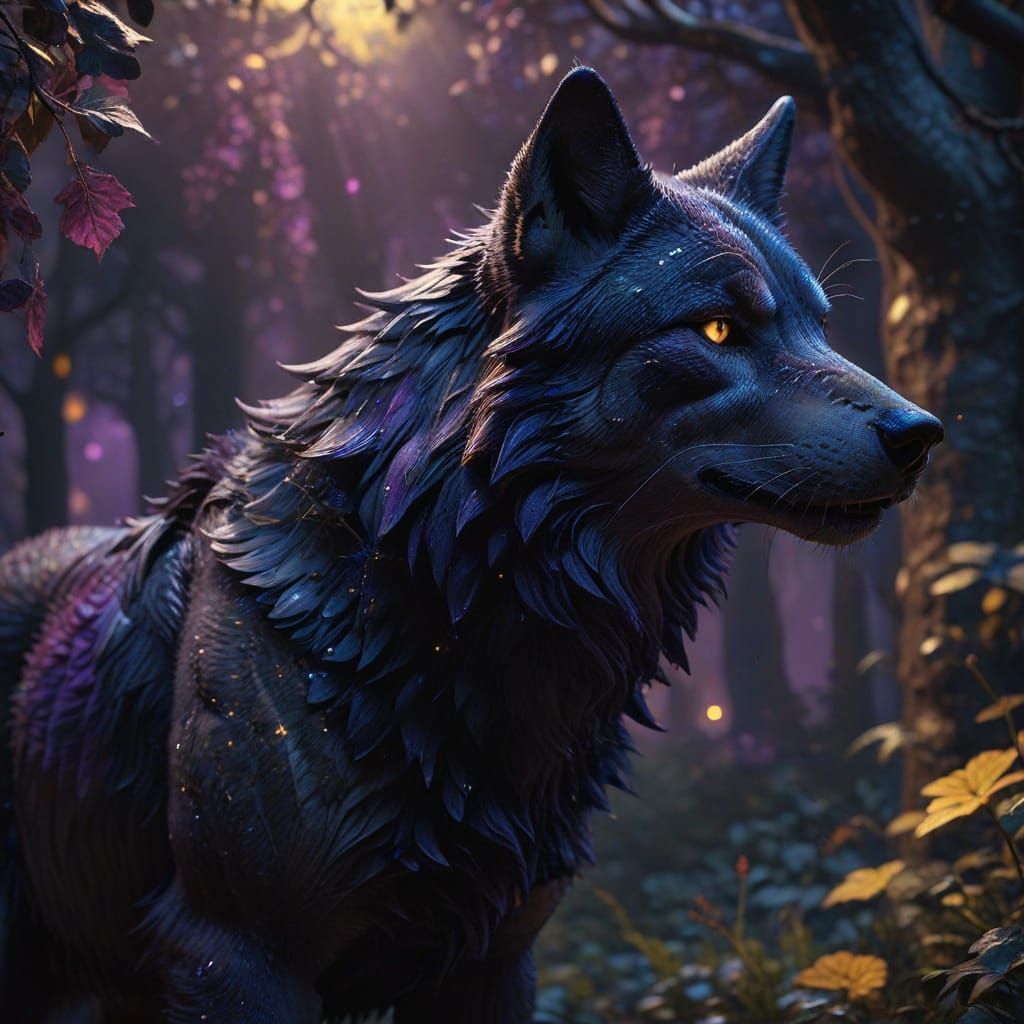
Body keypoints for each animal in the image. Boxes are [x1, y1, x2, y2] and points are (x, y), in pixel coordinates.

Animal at [0, 68, 941, 1023]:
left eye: (819, 326)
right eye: (718, 329)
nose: (923, 433)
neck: (432, 588)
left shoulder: (497, 956)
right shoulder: (235, 955)